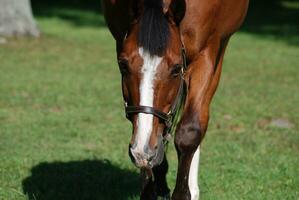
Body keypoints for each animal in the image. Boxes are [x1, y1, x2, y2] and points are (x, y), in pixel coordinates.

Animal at [102, 0, 250, 199]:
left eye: (175, 69)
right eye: (123, 66)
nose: (143, 152)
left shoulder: (207, 52)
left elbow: (190, 131)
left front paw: (185, 192)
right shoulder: (121, 40)